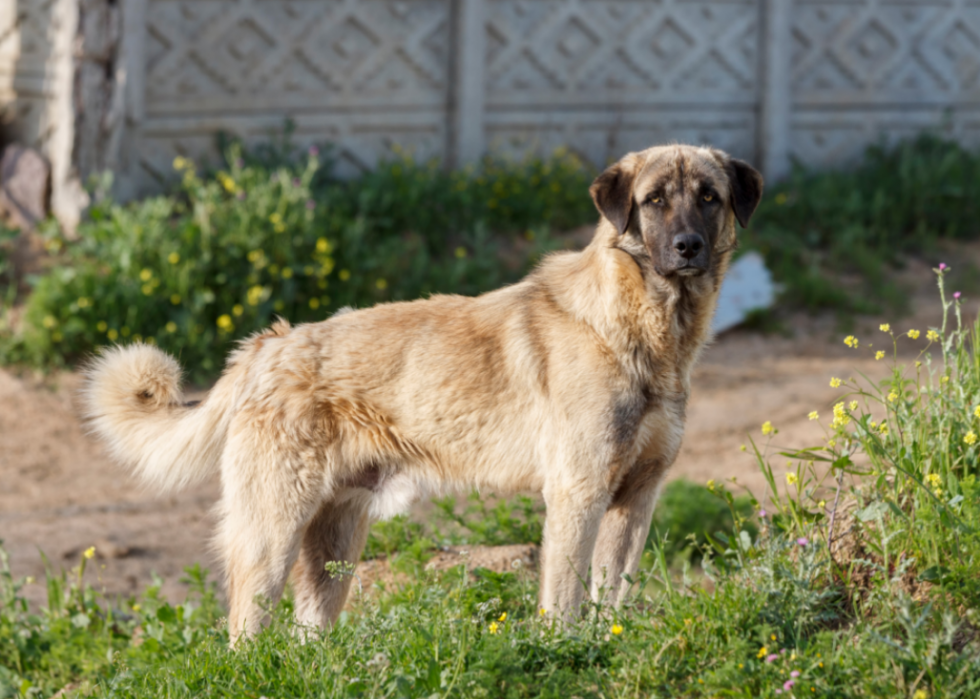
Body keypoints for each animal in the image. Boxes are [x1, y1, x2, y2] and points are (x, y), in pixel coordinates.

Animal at [82, 145, 756, 644]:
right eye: (654, 200)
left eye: (709, 197)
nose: (688, 248)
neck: (640, 326)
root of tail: (267, 346)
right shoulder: (578, 494)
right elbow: (564, 599)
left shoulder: (635, 499)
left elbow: (613, 595)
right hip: (271, 531)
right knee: (244, 630)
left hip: (335, 544)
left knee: (307, 634)